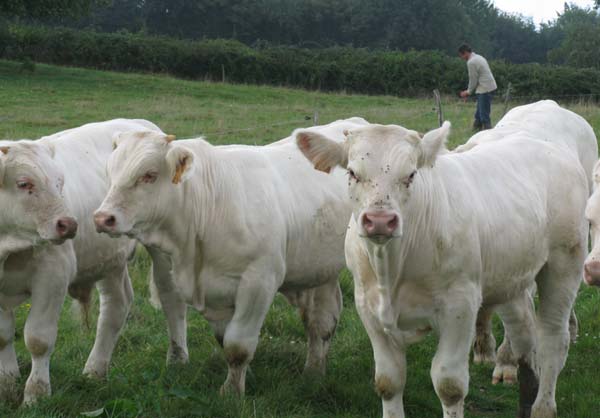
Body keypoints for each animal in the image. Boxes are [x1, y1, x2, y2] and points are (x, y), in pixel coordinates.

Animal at [0, 119, 161, 404]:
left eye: (59, 183)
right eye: (23, 183)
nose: (68, 224)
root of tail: (140, 123)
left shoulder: (53, 277)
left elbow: (38, 339)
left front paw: (36, 394)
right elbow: (2, 336)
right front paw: (6, 384)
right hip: (110, 262)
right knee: (116, 306)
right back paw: (95, 370)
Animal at [94, 117, 368, 396]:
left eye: (149, 175)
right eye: (111, 172)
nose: (103, 218)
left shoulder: (259, 282)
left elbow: (238, 346)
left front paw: (232, 393)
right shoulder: (215, 294)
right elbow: (224, 340)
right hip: (318, 270)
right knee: (321, 322)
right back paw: (313, 374)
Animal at [298, 121, 588, 418]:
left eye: (411, 174)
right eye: (353, 173)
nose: (380, 221)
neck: (391, 268)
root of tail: (545, 143)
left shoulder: (460, 306)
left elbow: (450, 386)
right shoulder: (367, 307)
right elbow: (388, 381)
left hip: (565, 262)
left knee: (552, 338)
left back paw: (543, 407)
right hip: (511, 275)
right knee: (524, 334)